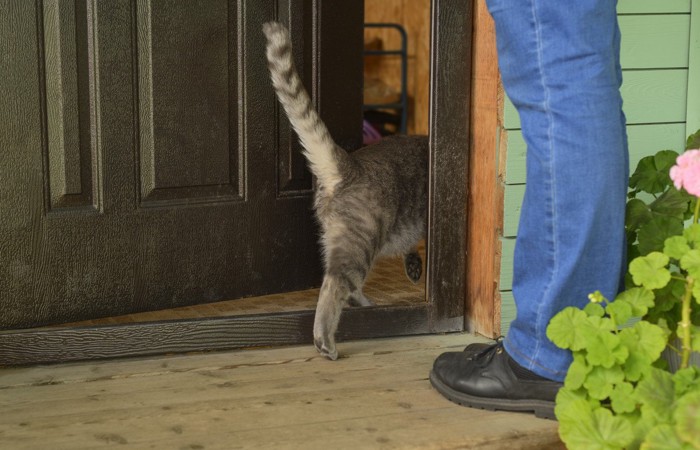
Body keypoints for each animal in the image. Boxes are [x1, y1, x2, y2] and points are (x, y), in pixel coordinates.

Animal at [262, 21, 426, 360]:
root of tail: (351, 164)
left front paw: (413, 263)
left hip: (337, 237)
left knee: (343, 285)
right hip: (360, 242)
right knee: (336, 285)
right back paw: (325, 340)